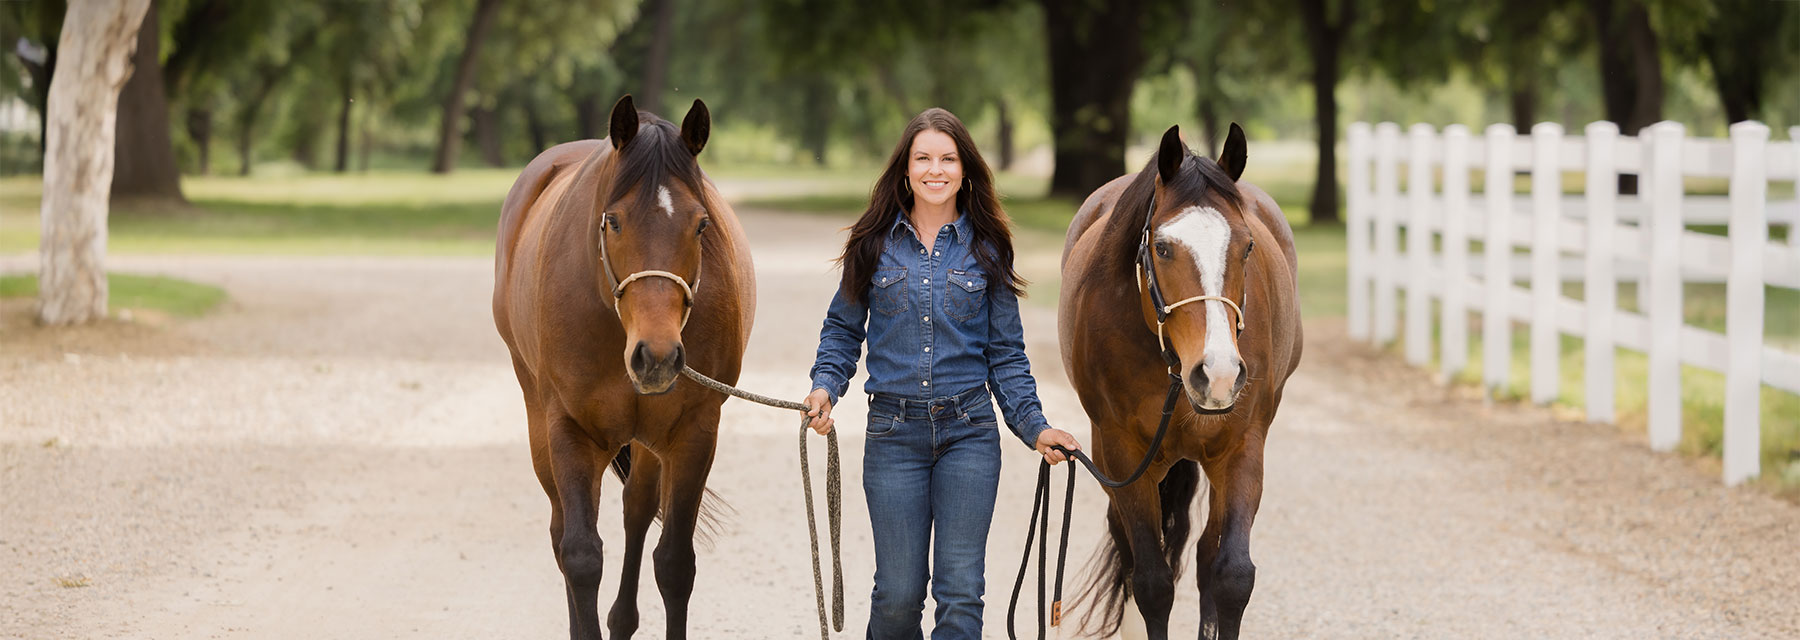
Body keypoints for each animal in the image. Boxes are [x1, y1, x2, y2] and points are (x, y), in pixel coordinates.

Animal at [492, 95, 754, 640]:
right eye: (612, 220)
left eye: (701, 224)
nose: (657, 356)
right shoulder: (570, 429)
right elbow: (581, 556)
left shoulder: (694, 431)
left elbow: (674, 563)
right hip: (540, 421)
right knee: (561, 531)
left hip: (650, 439)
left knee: (636, 511)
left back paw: (622, 620)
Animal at [1058, 123, 1302, 640]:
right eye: (1163, 248)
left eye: (1247, 246)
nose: (1218, 372)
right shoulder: (1122, 453)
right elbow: (1151, 581)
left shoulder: (1242, 447)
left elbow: (1232, 575)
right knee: (1128, 552)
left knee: (1208, 554)